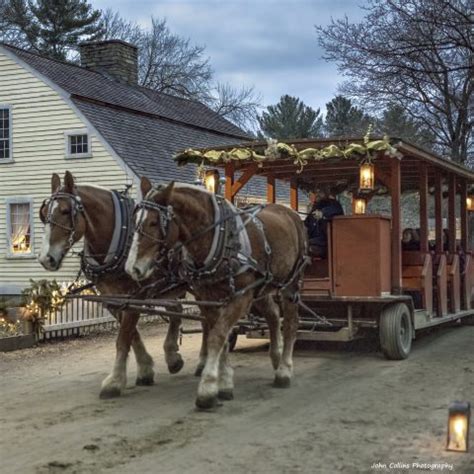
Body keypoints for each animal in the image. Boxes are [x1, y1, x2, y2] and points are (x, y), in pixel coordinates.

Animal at [38, 172, 186, 398]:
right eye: (44, 213)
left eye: (65, 211)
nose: (46, 258)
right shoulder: (112, 299)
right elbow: (132, 336)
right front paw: (145, 369)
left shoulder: (134, 297)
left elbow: (123, 338)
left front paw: (114, 382)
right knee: (177, 311)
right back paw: (173, 356)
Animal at [127, 180, 308, 410]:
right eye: (134, 220)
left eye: (152, 223)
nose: (132, 268)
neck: (217, 238)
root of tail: (290, 212)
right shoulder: (209, 298)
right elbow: (220, 338)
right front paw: (224, 382)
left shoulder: (241, 297)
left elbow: (217, 337)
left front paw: (208, 387)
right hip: (263, 286)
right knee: (274, 315)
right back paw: (276, 357)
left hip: (290, 284)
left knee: (291, 323)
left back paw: (284, 370)